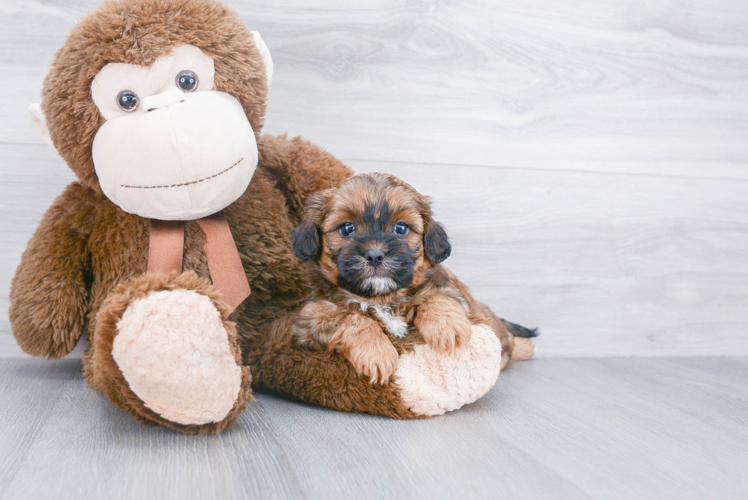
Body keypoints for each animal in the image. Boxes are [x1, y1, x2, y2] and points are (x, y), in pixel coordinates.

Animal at [290, 172, 536, 382]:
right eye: (347, 228)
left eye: (401, 229)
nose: (375, 255)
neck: (381, 298)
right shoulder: (311, 316)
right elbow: (351, 317)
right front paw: (376, 353)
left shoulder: (454, 293)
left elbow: (436, 296)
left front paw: (447, 329)